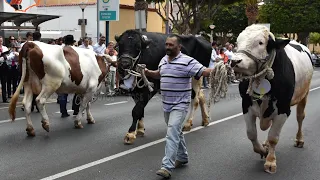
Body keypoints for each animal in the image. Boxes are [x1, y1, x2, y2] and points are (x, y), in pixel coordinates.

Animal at [231, 24, 314, 174]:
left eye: (260, 42)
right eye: (237, 42)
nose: (234, 61)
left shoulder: (283, 109)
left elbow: (273, 137)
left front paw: (270, 161)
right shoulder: (246, 105)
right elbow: (251, 133)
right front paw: (262, 150)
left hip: (304, 94)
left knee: (300, 117)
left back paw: (299, 140)